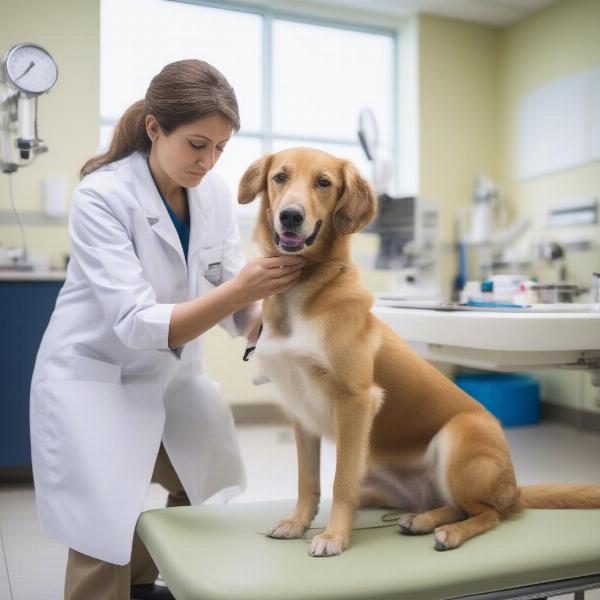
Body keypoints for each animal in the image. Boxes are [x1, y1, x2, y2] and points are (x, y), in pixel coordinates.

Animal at [238, 146, 600, 556]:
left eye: (324, 183)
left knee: (489, 513)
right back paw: (424, 519)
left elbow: (339, 481)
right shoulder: (301, 415)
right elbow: (307, 481)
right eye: (280, 177)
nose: (290, 216)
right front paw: (298, 522)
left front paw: (333, 536)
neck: (302, 290)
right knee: (454, 505)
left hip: (458, 438)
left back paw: (449, 532)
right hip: (381, 482)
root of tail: (514, 487)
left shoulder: (356, 401)